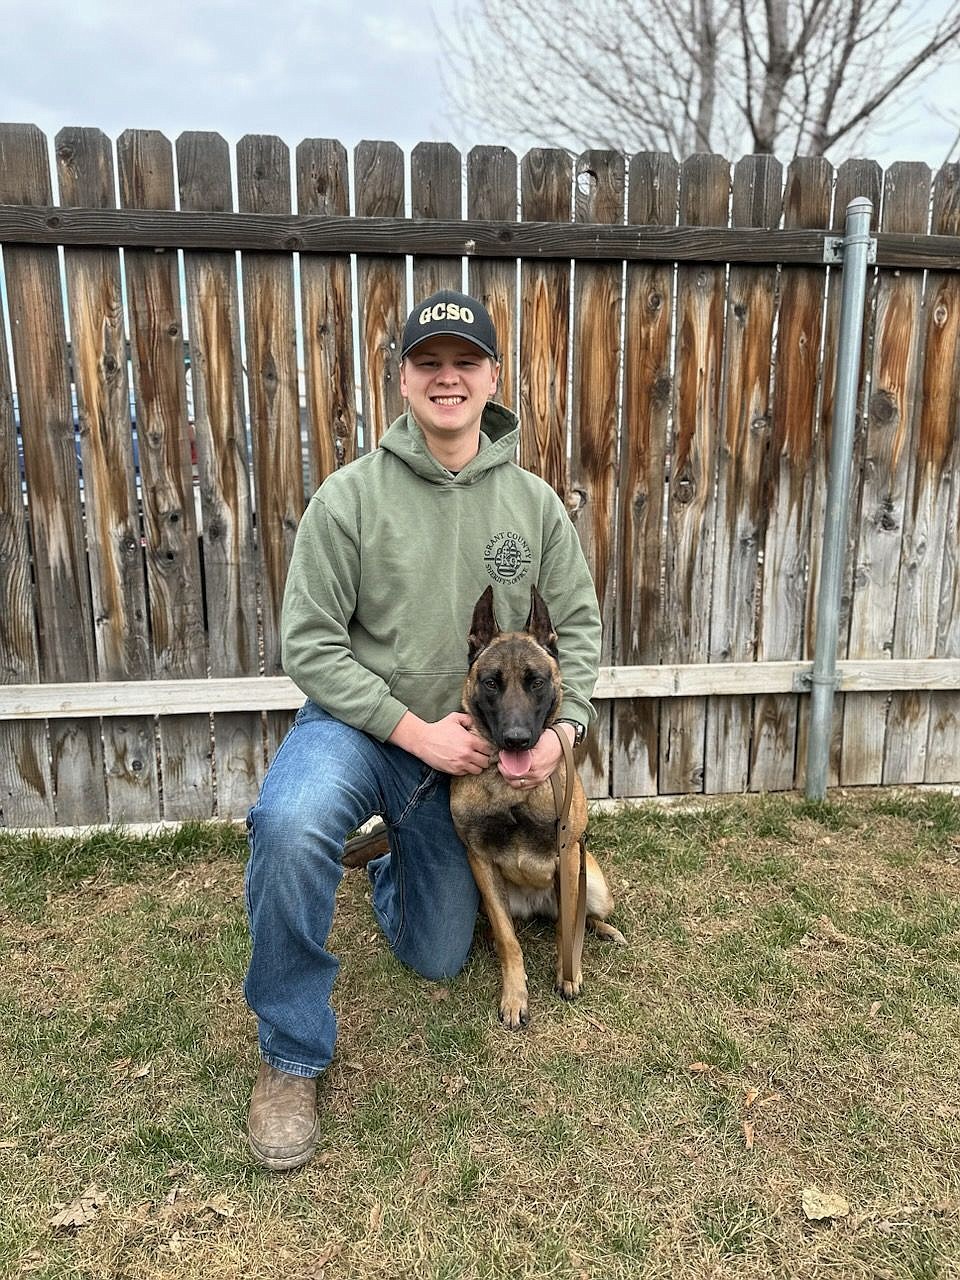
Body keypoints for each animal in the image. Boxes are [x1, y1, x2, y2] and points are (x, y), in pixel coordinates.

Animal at [450, 586, 624, 1029]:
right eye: (491, 683)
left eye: (537, 682)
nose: (516, 739)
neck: (510, 789)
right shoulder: (480, 861)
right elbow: (510, 941)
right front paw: (515, 995)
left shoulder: (568, 855)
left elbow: (568, 928)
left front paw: (569, 974)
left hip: (593, 884)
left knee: (582, 915)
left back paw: (603, 931)